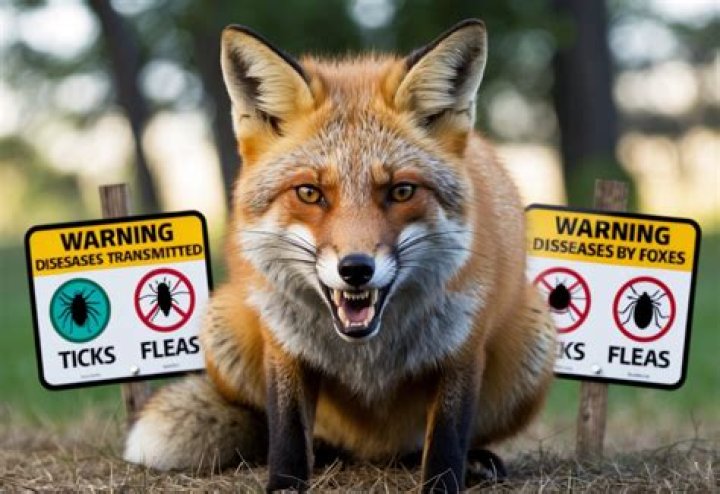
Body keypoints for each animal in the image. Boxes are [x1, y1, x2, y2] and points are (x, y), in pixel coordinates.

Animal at [123, 19, 556, 492]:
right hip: (222, 323)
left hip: (534, 337)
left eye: (401, 191)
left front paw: (443, 482)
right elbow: (287, 432)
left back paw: (470, 459)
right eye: (310, 193)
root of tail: (375, 451)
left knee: (424, 446)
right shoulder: (283, 345)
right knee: (274, 429)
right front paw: (285, 484)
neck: (366, 352)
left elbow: (447, 438)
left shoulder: (463, 345)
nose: (355, 269)